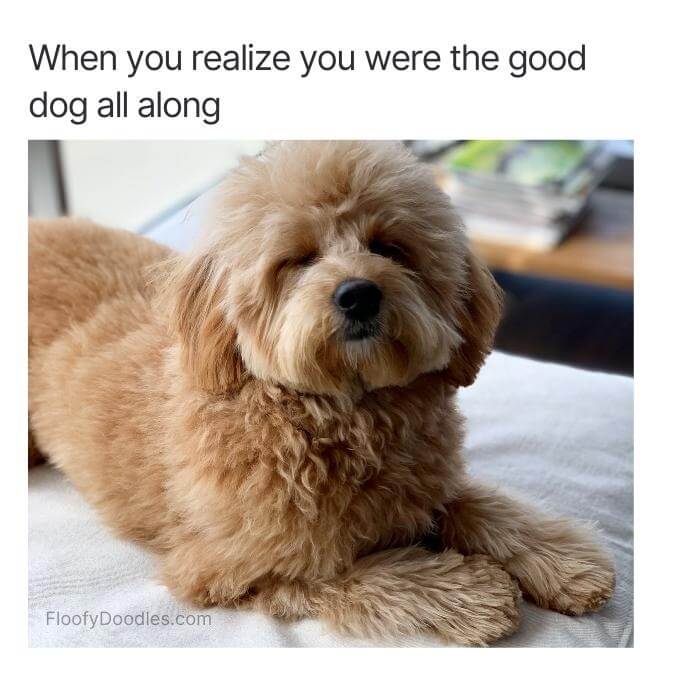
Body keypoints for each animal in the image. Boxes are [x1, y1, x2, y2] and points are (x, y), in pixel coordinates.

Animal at [29, 141, 616, 644]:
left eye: (389, 248)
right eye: (300, 258)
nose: (358, 294)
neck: (342, 413)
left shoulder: (426, 484)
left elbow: (482, 505)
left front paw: (564, 560)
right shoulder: (233, 569)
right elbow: (368, 573)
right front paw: (472, 593)